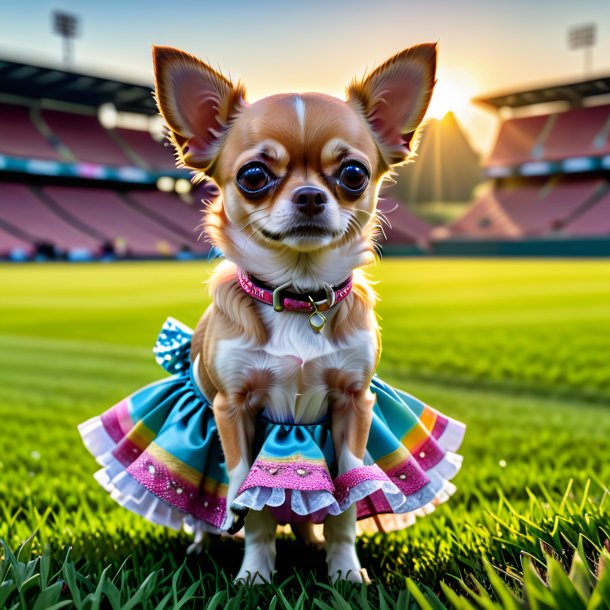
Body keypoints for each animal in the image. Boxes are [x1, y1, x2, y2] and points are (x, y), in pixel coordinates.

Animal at [152, 45, 436, 580]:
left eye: (353, 174)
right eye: (253, 176)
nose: (309, 196)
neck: (300, 297)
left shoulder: (353, 406)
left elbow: (346, 500)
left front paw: (345, 571)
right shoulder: (234, 409)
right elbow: (253, 501)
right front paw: (255, 574)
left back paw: (308, 541)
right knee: (205, 513)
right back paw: (202, 544)